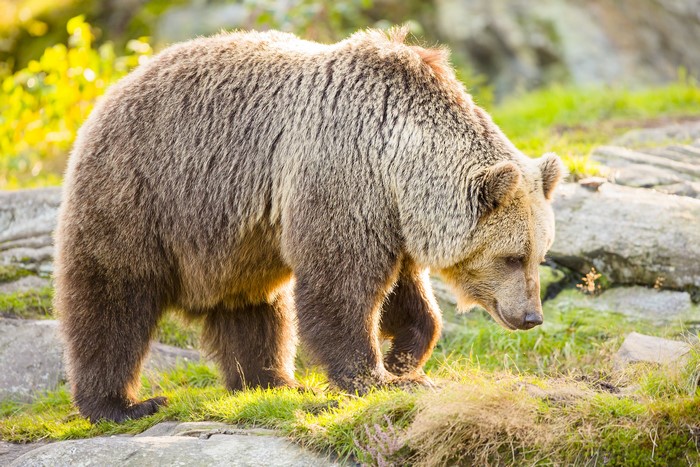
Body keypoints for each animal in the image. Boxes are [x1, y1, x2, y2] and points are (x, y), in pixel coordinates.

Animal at [54, 27, 564, 422]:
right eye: (512, 256)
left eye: (540, 255)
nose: (531, 316)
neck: (397, 160)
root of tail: (114, 87)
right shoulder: (342, 177)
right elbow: (340, 286)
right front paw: (371, 377)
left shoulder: (388, 216)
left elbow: (405, 295)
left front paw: (405, 360)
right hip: (141, 195)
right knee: (112, 299)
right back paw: (120, 404)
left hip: (236, 244)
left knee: (253, 308)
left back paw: (273, 382)